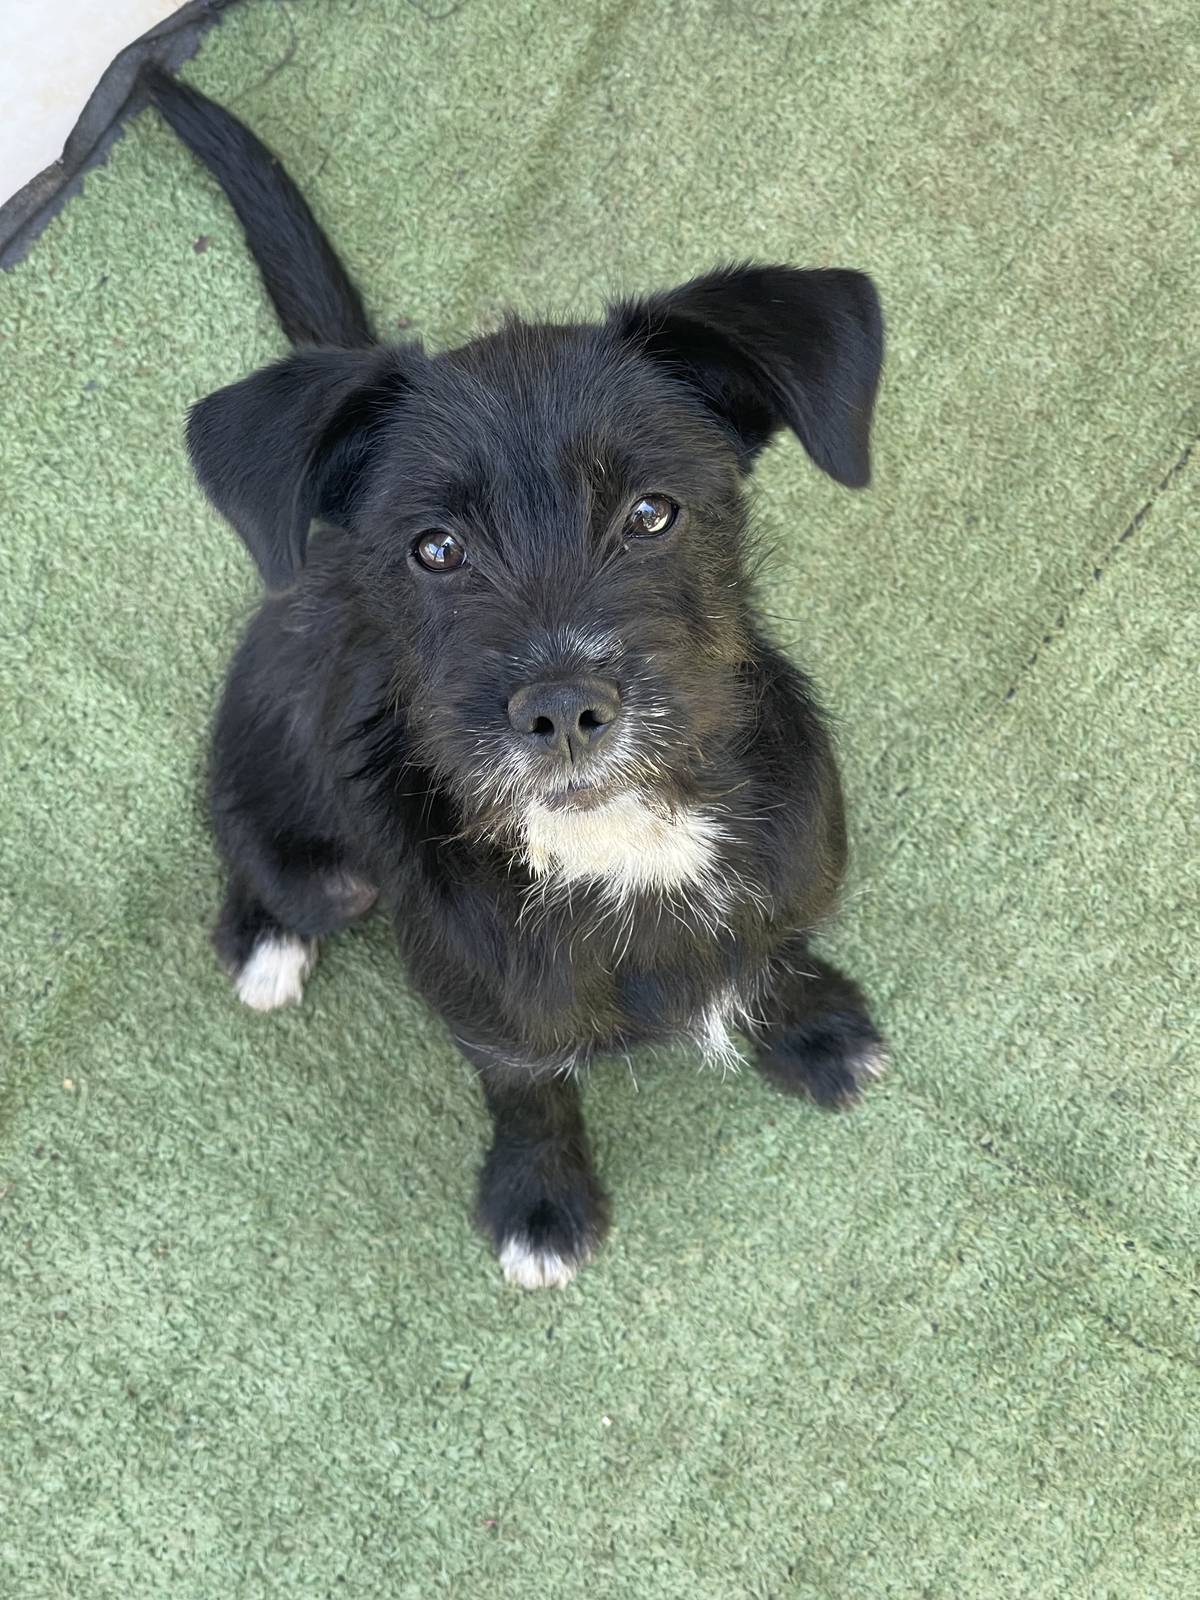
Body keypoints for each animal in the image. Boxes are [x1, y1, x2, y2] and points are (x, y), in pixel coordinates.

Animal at [145, 66, 887, 1288]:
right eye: (436, 547)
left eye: (651, 513)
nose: (564, 708)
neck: (619, 844)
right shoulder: (492, 1017)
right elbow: (528, 1088)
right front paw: (541, 1202)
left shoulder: (784, 888)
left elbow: (768, 954)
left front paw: (812, 1029)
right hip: (311, 853)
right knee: (258, 863)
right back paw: (265, 943)